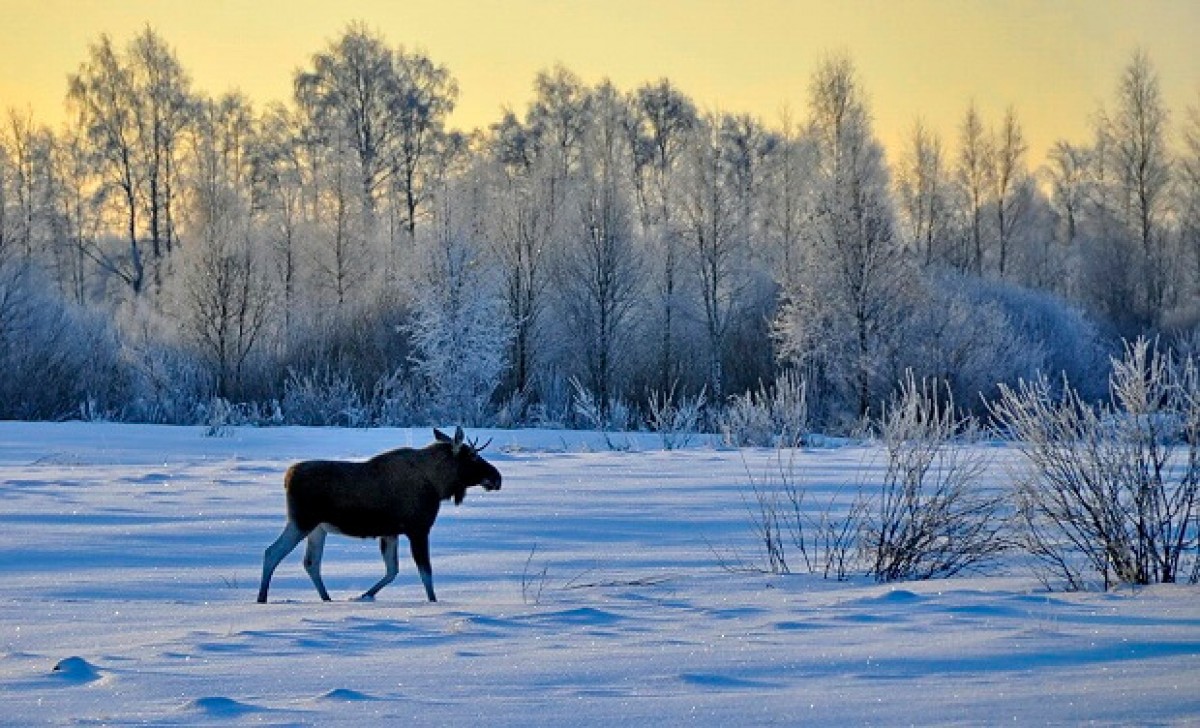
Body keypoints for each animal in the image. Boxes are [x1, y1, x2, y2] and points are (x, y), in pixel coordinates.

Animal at [258, 426, 501, 604]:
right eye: (473, 457)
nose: (497, 478)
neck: (438, 485)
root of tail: (287, 478)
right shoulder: (418, 529)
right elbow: (425, 573)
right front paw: (433, 602)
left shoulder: (391, 533)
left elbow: (392, 571)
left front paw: (365, 595)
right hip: (301, 521)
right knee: (272, 552)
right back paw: (262, 598)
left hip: (317, 529)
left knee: (311, 562)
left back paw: (327, 598)